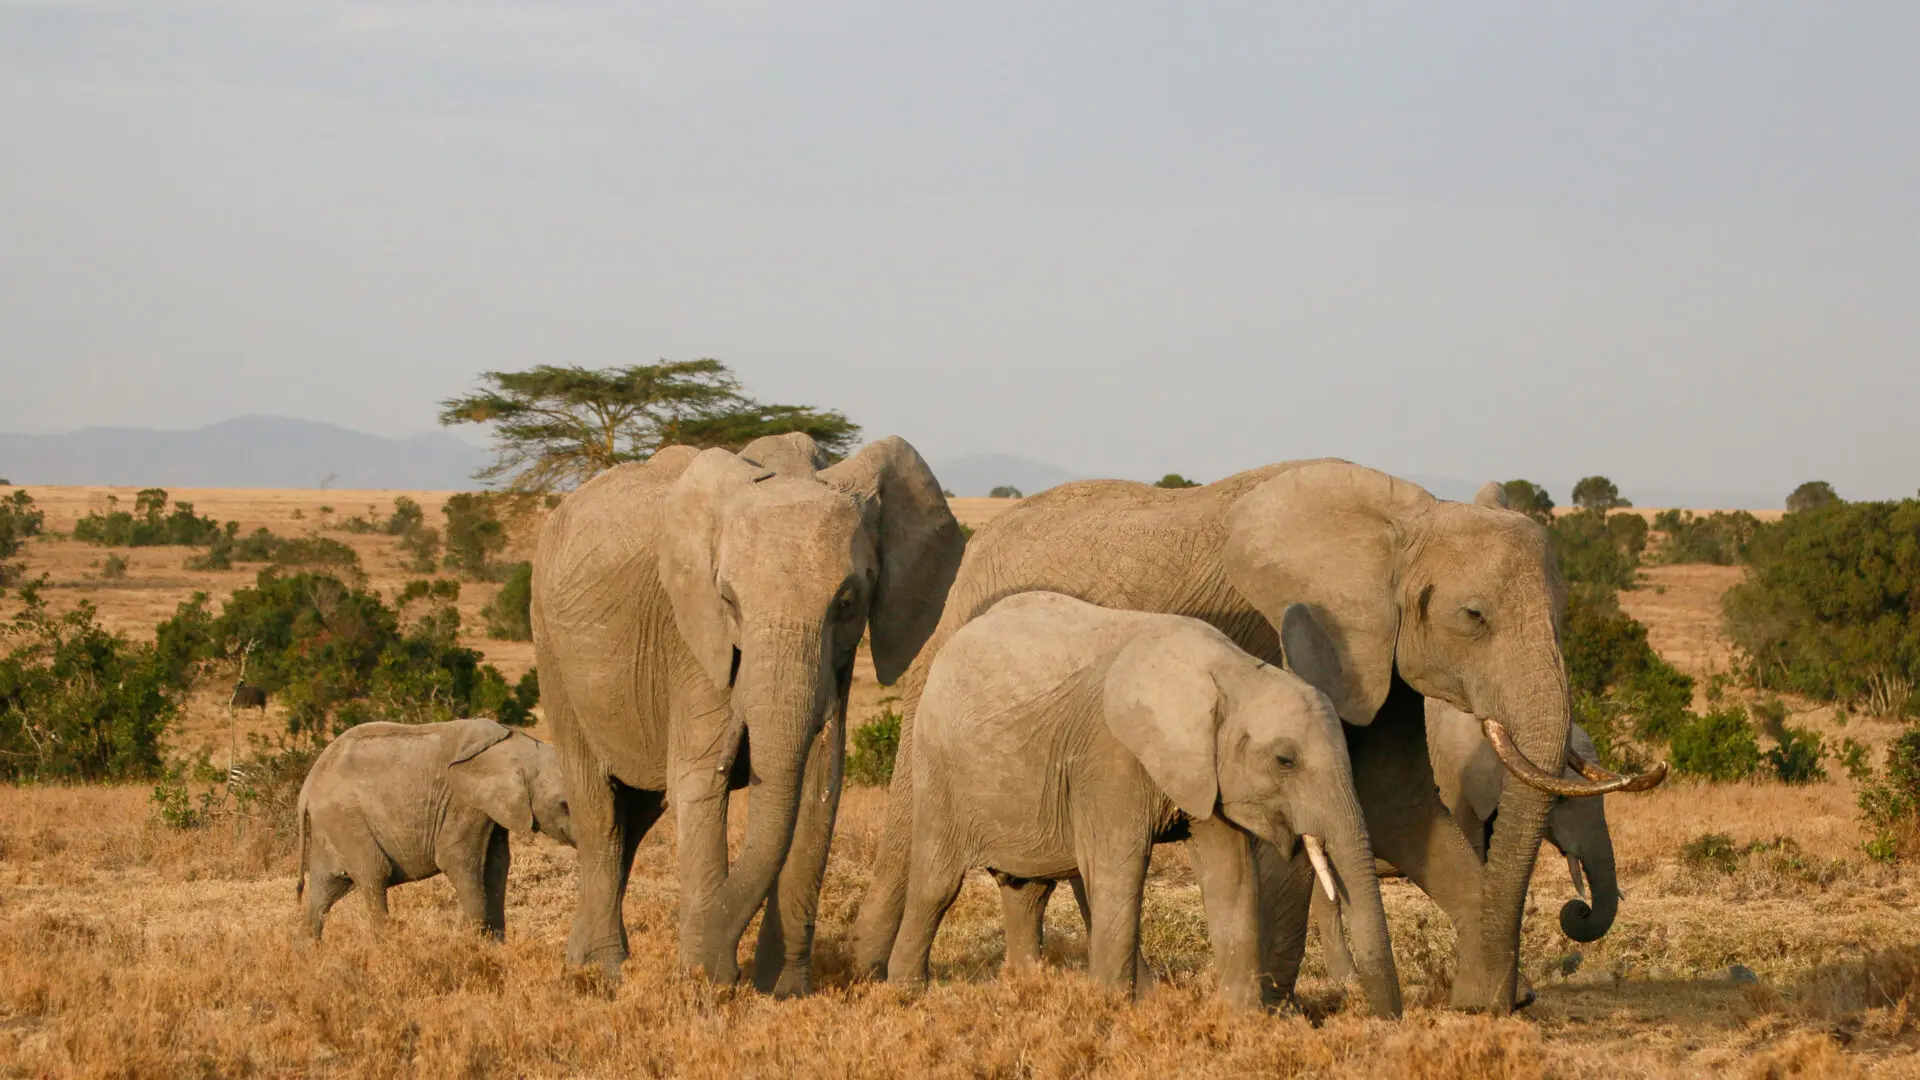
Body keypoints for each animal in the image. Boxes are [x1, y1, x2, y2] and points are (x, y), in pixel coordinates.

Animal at [296, 717, 573, 940]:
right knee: (374, 874)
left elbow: (497, 865)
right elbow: (456, 859)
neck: (518, 745)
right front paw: (477, 947)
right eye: (565, 805)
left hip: (331, 826)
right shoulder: (463, 803)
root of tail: (307, 786)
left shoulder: (490, 815)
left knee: (323, 893)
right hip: (347, 819)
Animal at [532, 432, 965, 994]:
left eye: (848, 601)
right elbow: (700, 779)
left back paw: (583, 960)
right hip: (550, 645)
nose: (722, 969)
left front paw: (784, 991)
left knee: (637, 816)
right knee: (600, 813)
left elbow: (818, 787)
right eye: (728, 599)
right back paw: (608, 969)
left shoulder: (838, 661)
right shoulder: (691, 640)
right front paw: (705, 981)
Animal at [889, 592, 1401, 1015]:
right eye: (1285, 760)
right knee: (937, 882)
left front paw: (1243, 1020)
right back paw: (908, 994)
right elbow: (1119, 868)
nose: (1384, 1018)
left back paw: (1027, 987)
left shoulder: (1205, 772)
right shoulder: (1111, 756)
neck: (1231, 673)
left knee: (1028, 889)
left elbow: (1230, 873)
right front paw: (1111, 1012)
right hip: (937, 762)